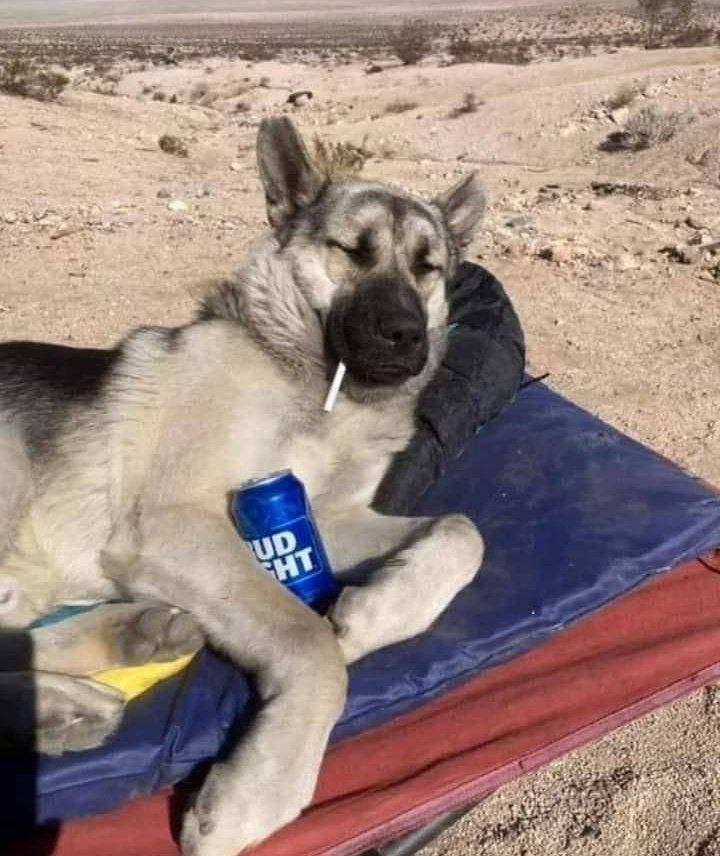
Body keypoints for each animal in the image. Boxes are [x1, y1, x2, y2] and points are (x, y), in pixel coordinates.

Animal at [0, 116, 486, 856]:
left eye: (428, 267)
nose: (407, 337)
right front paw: (261, 789)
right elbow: (309, 641)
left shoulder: (325, 518)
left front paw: (376, 614)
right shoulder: (175, 525)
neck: (318, 388)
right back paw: (72, 694)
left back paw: (120, 644)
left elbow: (464, 530)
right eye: (352, 251)